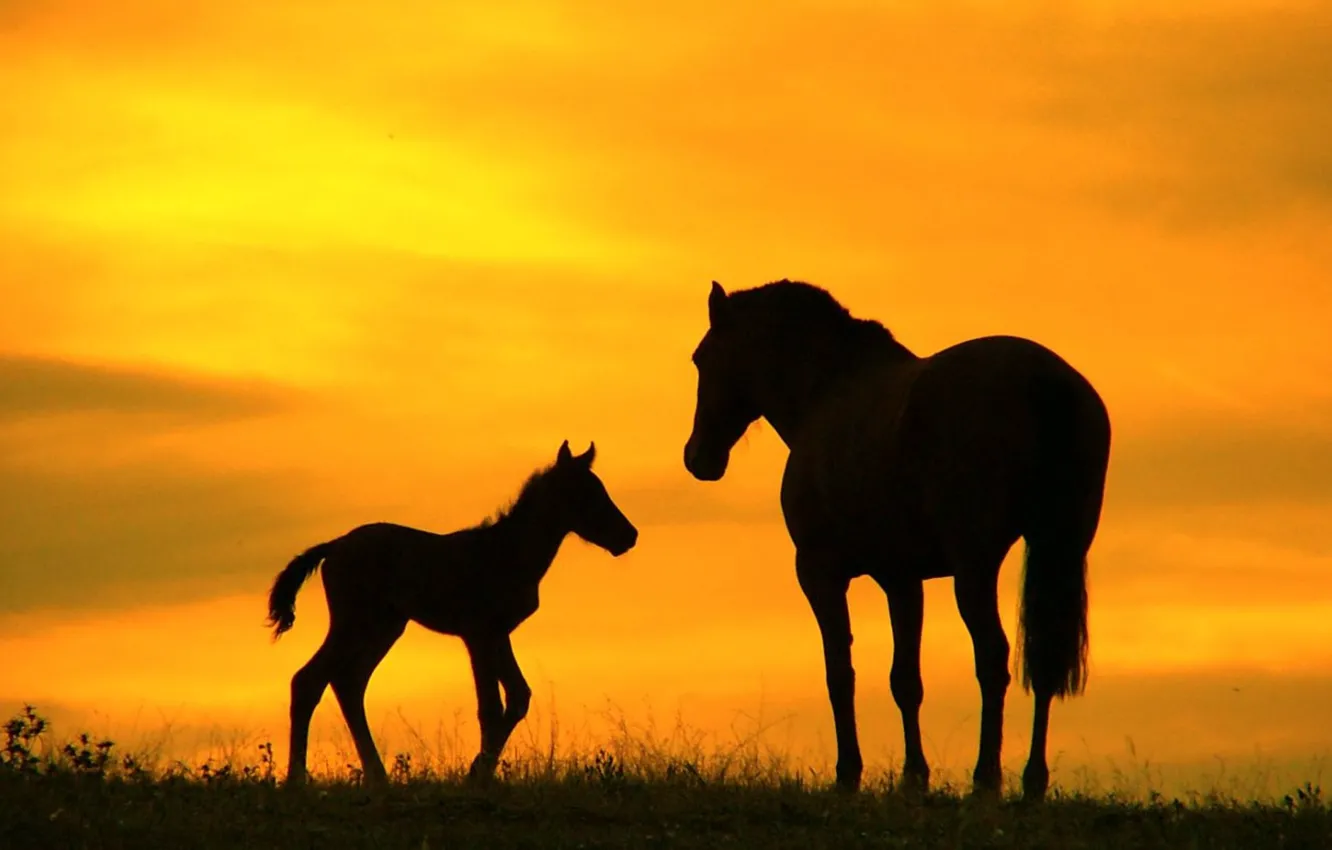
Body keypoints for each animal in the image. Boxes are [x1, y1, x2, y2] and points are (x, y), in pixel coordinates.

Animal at [266, 440, 639, 787]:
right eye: (585, 494)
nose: (629, 536)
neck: (507, 551)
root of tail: (333, 547)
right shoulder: (479, 633)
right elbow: (491, 707)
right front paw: (478, 776)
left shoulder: (498, 633)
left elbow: (518, 696)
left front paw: (479, 771)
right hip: (353, 623)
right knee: (309, 680)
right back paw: (297, 778)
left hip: (384, 627)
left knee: (348, 683)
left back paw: (376, 776)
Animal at [683, 280, 1110, 801]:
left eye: (701, 358)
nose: (697, 457)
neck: (826, 393)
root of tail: (1046, 382)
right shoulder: (902, 579)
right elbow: (906, 680)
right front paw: (913, 777)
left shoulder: (819, 572)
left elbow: (839, 671)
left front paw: (848, 774)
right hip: (1058, 546)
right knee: (1044, 658)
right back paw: (1032, 782)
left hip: (976, 565)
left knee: (992, 657)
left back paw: (986, 779)